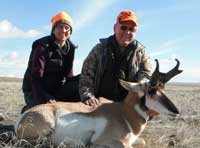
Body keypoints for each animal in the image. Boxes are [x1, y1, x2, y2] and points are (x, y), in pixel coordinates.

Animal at [15, 59, 183, 148]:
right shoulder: (107, 140)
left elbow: (142, 141)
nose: (176, 111)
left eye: (163, 88)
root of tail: (24, 116)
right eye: (152, 91)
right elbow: (127, 145)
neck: (124, 112)